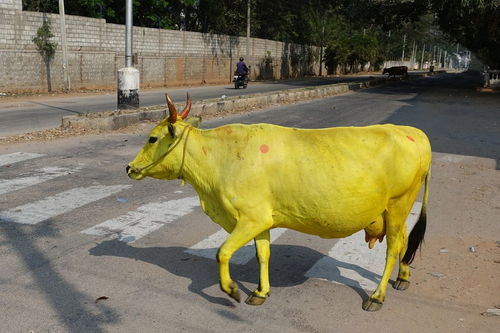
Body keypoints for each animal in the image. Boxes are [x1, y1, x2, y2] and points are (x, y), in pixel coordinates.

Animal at [127, 92, 432, 308]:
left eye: (152, 138)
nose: (129, 168)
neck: (219, 157)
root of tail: (412, 133)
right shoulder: (262, 219)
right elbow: (263, 254)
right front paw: (261, 292)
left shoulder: (251, 217)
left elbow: (222, 252)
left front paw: (232, 289)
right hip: (395, 209)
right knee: (403, 242)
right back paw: (403, 278)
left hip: (399, 204)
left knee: (392, 248)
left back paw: (377, 296)